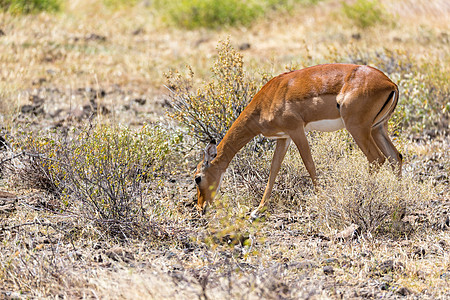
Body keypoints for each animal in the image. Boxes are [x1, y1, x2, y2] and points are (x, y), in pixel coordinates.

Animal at [195, 63, 402, 218]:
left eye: (198, 178)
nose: (200, 207)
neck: (267, 100)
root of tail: (390, 83)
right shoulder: (283, 137)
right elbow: (273, 170)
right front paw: (258, 210)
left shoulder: (296, 130)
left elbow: (309, 164)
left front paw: (321, 200)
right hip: (377, 128)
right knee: (396, 157)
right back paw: (398, 203)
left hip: (358, 129)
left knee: (376, 158)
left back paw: (364, 200)